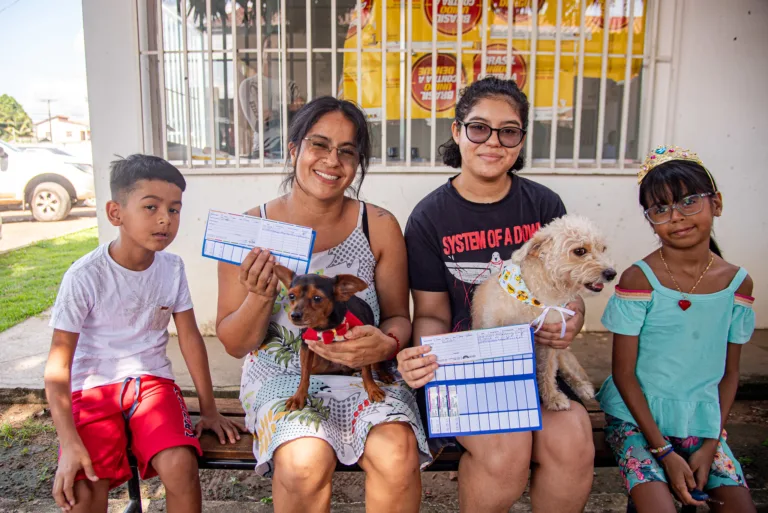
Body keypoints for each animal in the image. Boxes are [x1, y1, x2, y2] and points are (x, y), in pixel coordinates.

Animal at [270, 266, 392, 410]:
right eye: (291, 296)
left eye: (317, 298)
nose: (295, 315)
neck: (326, 328)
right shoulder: (306, 348)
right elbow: (304, 375)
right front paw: (298, 397)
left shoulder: (363, 347)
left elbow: (366, 371)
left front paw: (373, 389)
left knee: (375, 363)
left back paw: (384, 374)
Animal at [472, 214, 616, 410]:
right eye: (579, 251)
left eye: (603, 249)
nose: (612, 273)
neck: (537, 297)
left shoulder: (550, 344)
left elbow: (547, 370)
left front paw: (552, 397)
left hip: (561, 349)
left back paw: (582, 387)